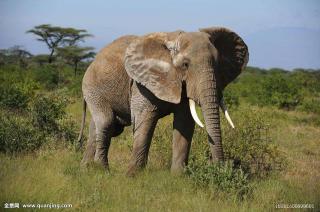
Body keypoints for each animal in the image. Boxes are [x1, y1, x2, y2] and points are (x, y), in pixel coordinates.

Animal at [78, 26, 250, 176]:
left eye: (218, 64)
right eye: (185, 65)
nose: (221, 169)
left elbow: (184, 123)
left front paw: (178, 177)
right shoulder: (142, 83)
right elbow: (144, 121)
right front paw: (132, 176)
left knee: (97, 127)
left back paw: (86, 169)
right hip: (92, 87)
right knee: (106, 122)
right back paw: (102, 170)